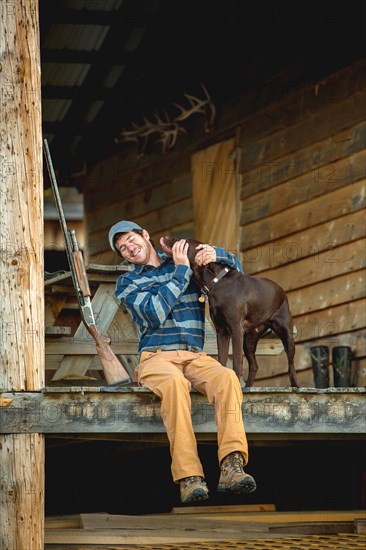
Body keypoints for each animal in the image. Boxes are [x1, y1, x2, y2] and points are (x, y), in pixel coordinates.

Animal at [160, 236, 298, 388]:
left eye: (187, 241)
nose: (166, 237)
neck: (216, 282)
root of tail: (281, 290)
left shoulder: (236, 330)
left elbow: (237, 362)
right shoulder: (222, 332)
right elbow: (222, 360)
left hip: (286, 333)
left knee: (291, 364)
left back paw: (295, 385)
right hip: (249, 340)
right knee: (254, 366)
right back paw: (248, 387)